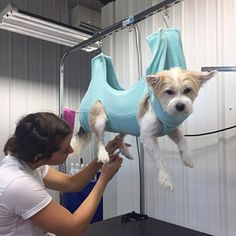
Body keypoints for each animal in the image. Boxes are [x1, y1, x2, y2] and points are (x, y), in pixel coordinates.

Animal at [71, 67, 216, 191]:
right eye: (169, 91)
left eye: (187, 90)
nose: (180, 106)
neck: (161, 108)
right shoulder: (148, 137)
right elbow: (159, 158)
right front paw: (165, 178)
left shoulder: (171, 130)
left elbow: (182, 140)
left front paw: (187, 157)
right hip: (100, 118)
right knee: (99, 139)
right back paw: (103, 153)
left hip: (126, 126)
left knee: (118, 137)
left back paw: (125, 151)